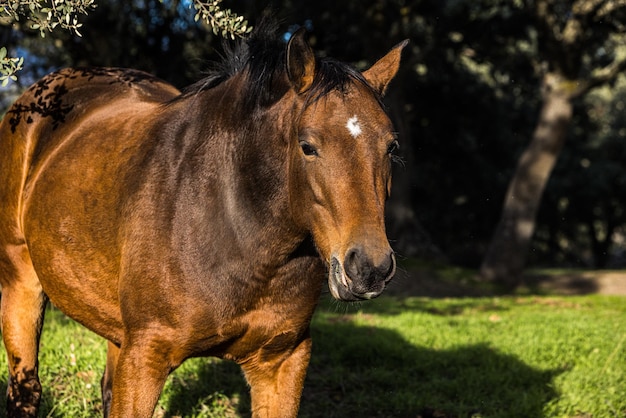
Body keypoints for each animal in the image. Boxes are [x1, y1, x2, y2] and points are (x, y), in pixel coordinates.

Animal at [0, 24, 404, 416]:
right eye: (307, 145)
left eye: (391, 146)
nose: (369, 268)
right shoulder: (145, 356)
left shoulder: (283, 361)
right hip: (21, 283)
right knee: (26, 389)